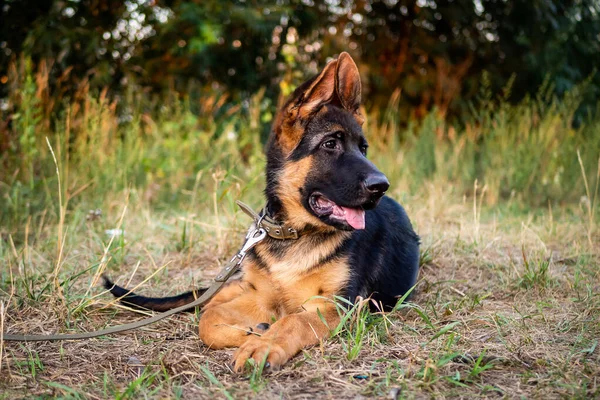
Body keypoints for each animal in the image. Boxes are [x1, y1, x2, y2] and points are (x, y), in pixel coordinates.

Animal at [103, 52, 420, 372]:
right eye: (330, 144)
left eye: (363, 148)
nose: (381, 186)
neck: (295, 234)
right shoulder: (260, 297)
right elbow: (208, 320)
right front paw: (251, 333)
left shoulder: (333, 305)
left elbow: (292, 322)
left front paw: (264, 344)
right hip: (239, 283)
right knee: (210, 301)